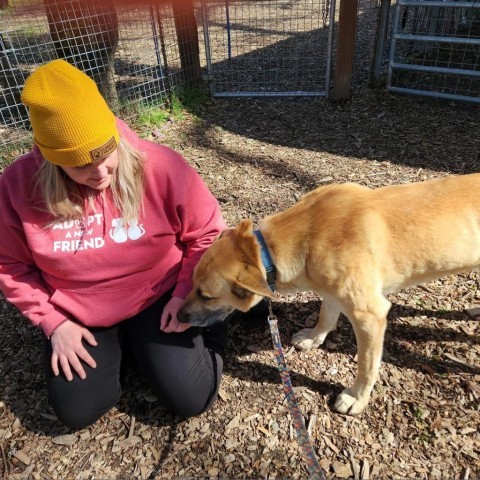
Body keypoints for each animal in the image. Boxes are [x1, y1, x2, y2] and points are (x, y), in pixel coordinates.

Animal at [177, 174, 480, 414]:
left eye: (206, 296)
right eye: (190, 283)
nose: (177, 316)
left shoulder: (370, 315)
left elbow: (367, 365)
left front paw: (356, 398)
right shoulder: (332, 292)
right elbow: (326, 316)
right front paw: (314, 338)